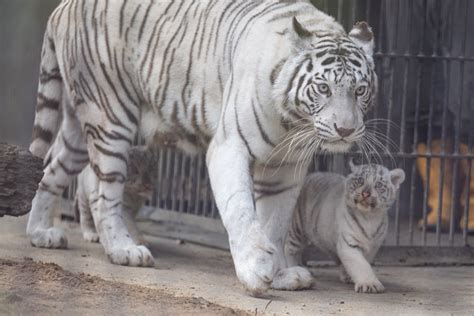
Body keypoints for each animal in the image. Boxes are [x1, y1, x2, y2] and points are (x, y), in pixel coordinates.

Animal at [26, 0, 378, 296]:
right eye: (324, 88)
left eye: (360, 90)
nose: (345, 130)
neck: (293, 123)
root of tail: (63, 6)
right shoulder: (229, 147)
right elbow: (241, 213)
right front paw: (254, 271)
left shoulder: (285, 168)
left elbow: (274, 224)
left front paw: (279, 274)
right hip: (110, 117)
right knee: (102, 196)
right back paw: (124, 250)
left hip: (78, 125)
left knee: (51, 167)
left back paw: (41, 233)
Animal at [284, 163, 406, 294]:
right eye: (360, 180)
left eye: (378, 184)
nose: (365, 193)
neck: (370, 217)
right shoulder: (349, 242)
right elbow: (360, 263)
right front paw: (369, 284)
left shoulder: (374, 246)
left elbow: (363, 261)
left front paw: (348, 276)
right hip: (296, 228)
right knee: (289, 249)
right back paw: (294, 268)